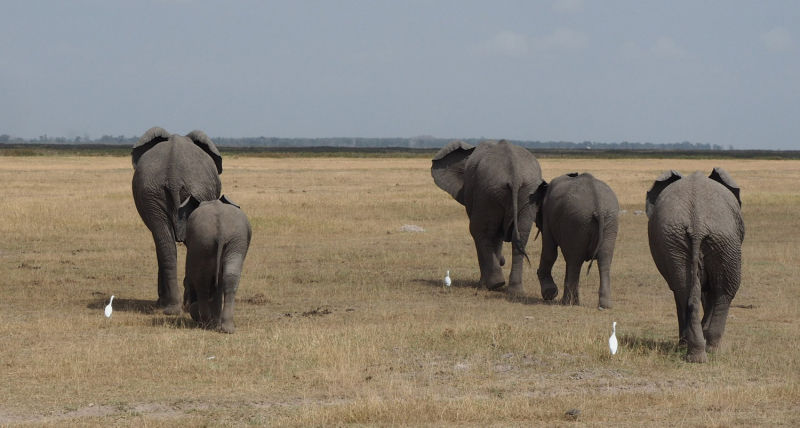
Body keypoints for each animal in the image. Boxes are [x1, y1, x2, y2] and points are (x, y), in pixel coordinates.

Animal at [131, 127, 223, 314]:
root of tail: (174, 177)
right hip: (187, 192)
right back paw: (183, 305)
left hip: (153, 193)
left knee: (164, 244)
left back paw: (173, 307)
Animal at [177, 195, 250, 334]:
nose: (184, 307)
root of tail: (221, 232)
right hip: (232, 241)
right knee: (229, 277)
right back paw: (226, 328)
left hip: (205, 241)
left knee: (202, 281)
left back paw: (207, 325)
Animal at [432, 140, 552, 294]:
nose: (502, 260)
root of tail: (515, 176)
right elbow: (498, 235)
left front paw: (484, 284)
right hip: (524, 194)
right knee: (520, 236)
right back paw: (515, 290)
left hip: (488, 192)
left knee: (479, 232)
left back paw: (495, 284)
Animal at [536, 172, 620, 310]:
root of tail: (599, 207)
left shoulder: (547, 214)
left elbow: (550, 251)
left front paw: (549, 293)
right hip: (608, 221)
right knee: (603, 259)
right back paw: (604, 305)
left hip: (576, 222)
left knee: (574, 261)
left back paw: (568, 303)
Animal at [644, 169, 744, 362]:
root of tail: (697, 224)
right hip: (721, 240)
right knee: (724, 293)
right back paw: (711, 349)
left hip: (683, 243)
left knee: (686, 292)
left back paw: (696, 355)